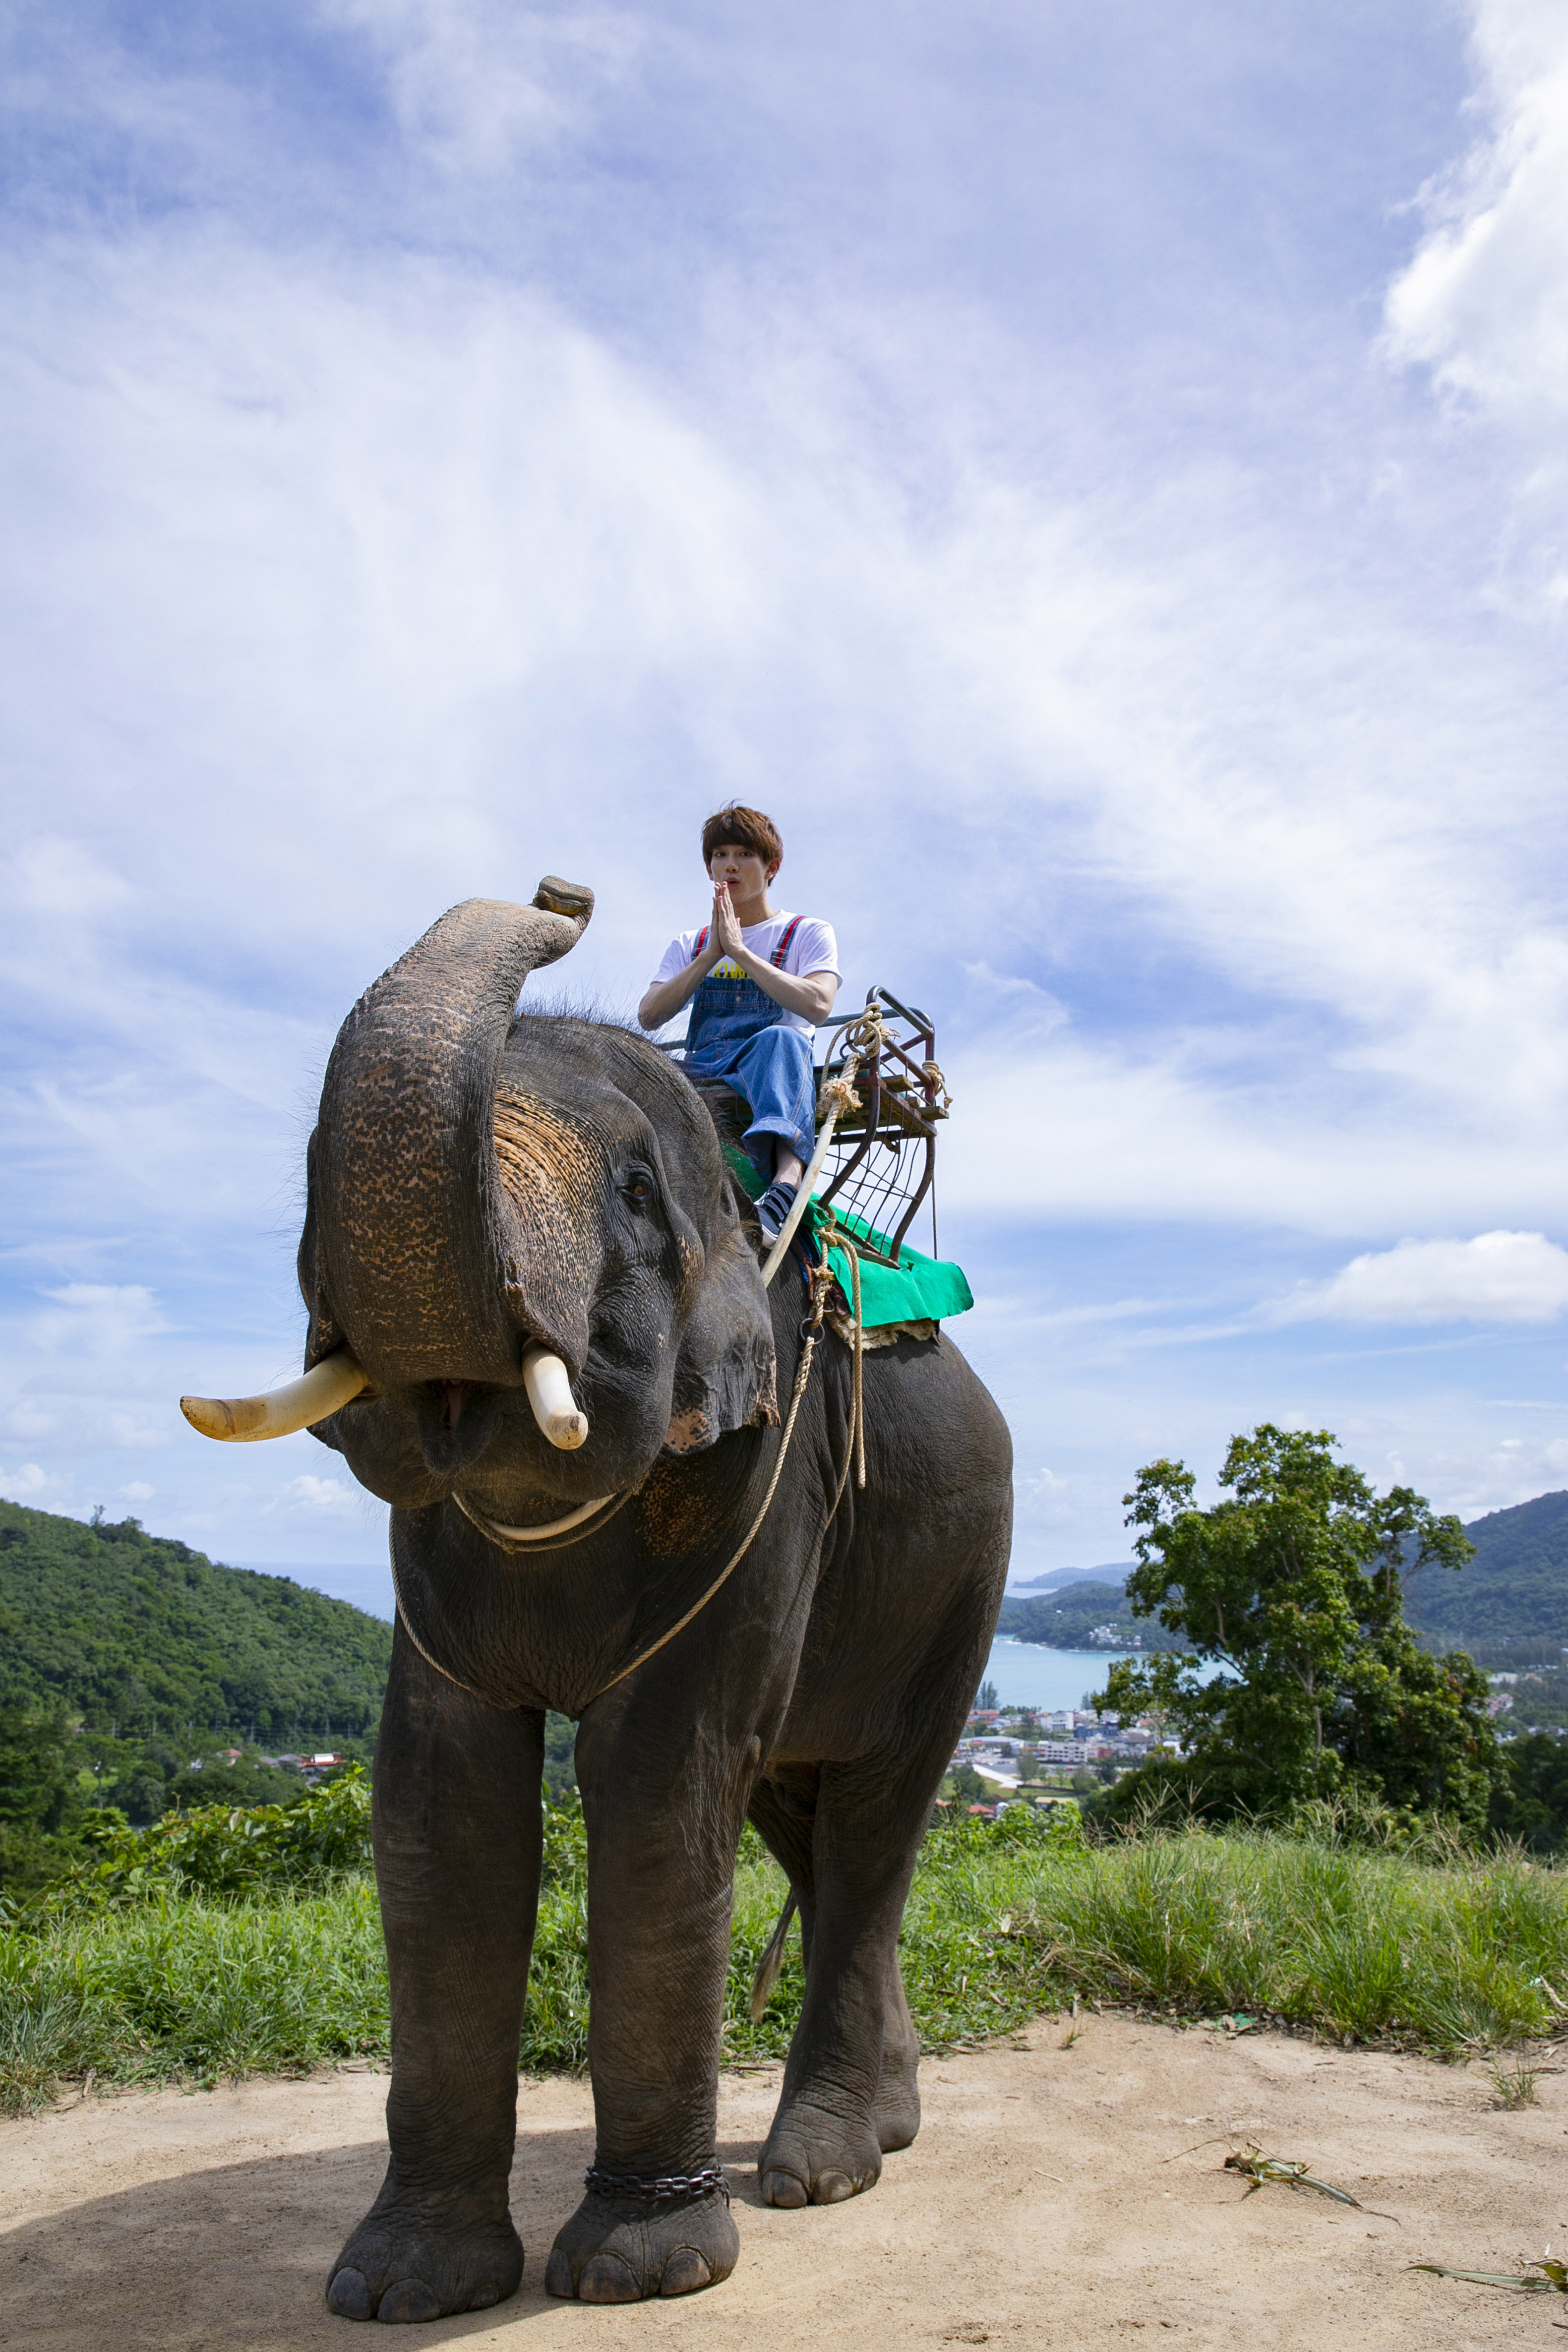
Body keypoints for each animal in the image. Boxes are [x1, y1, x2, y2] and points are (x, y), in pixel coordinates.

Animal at [190, 879, 1011, 2314]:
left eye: (633, 1192)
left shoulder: (770, 1465)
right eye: (308, 1165)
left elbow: (656, 1782)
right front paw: (403, 2288)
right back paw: (885, 2126)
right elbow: (439, 1799)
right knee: (801, 1813)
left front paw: (643, 2270)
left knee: (870, 1821)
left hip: (964, 1579)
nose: (561, 898)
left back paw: (820, 2169)